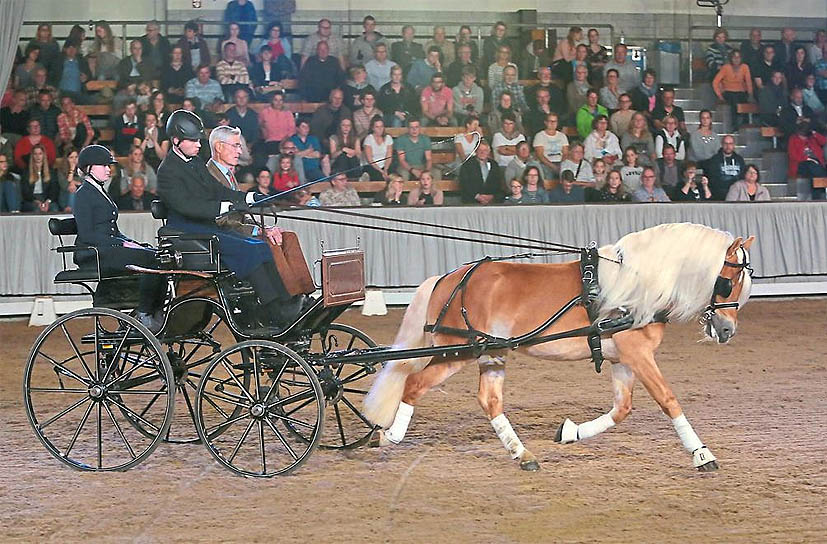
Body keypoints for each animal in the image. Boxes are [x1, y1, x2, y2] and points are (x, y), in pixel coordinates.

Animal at [362, 223, 756, 470]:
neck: (637, 285)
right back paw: (390, 436)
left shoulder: (623, 359)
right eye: (728, 280)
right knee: (414, 384)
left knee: (489, 400)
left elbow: (622, 409)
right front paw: (702, 454)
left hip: (490, 351)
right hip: (456, 351)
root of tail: (447, 278)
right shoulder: (638, 354)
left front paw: (570, 433)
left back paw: (523, 455)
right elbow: (668, 399)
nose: (726, 330)